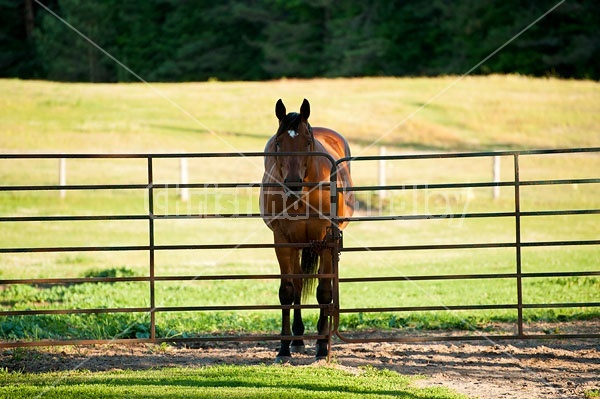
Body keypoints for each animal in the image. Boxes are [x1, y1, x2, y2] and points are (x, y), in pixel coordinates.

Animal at [260, 100, 354, 362]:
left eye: (307, 143)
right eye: (278, 143)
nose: (293, 184)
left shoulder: (325, 241)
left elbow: (324, 293)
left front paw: (322, 347)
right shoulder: (282, 241)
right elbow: (287, 292)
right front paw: (283, 348)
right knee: (298, 285)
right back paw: (298, 340)